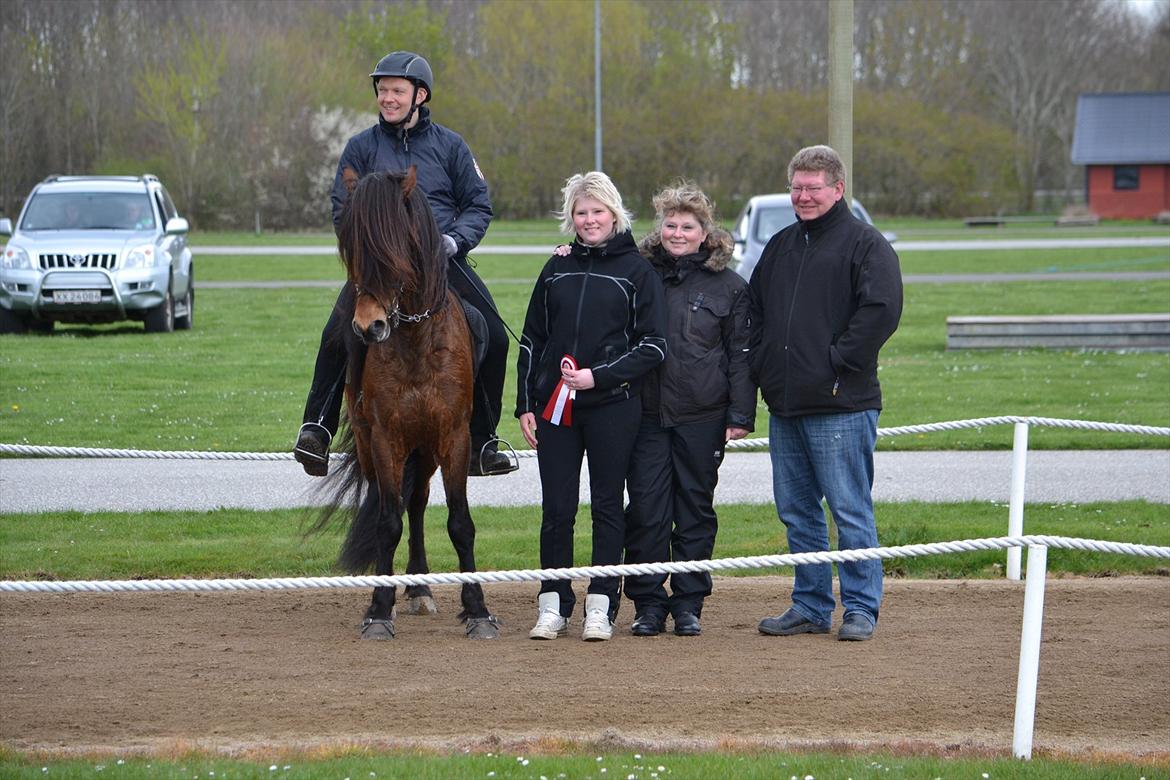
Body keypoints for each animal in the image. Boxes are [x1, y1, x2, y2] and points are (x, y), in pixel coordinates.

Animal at [320, 168, 498, 636]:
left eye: (396, 249)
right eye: (352, 248)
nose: (369, 327)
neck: (416, 340)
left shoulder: (453, 437)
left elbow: (459, 522)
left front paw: (477, 609)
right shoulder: (386, 439)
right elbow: (387, 522)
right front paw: (379, 609)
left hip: (426, 449)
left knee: (416, 503)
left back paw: (419, 588)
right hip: (382, 447)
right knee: (396, 504)